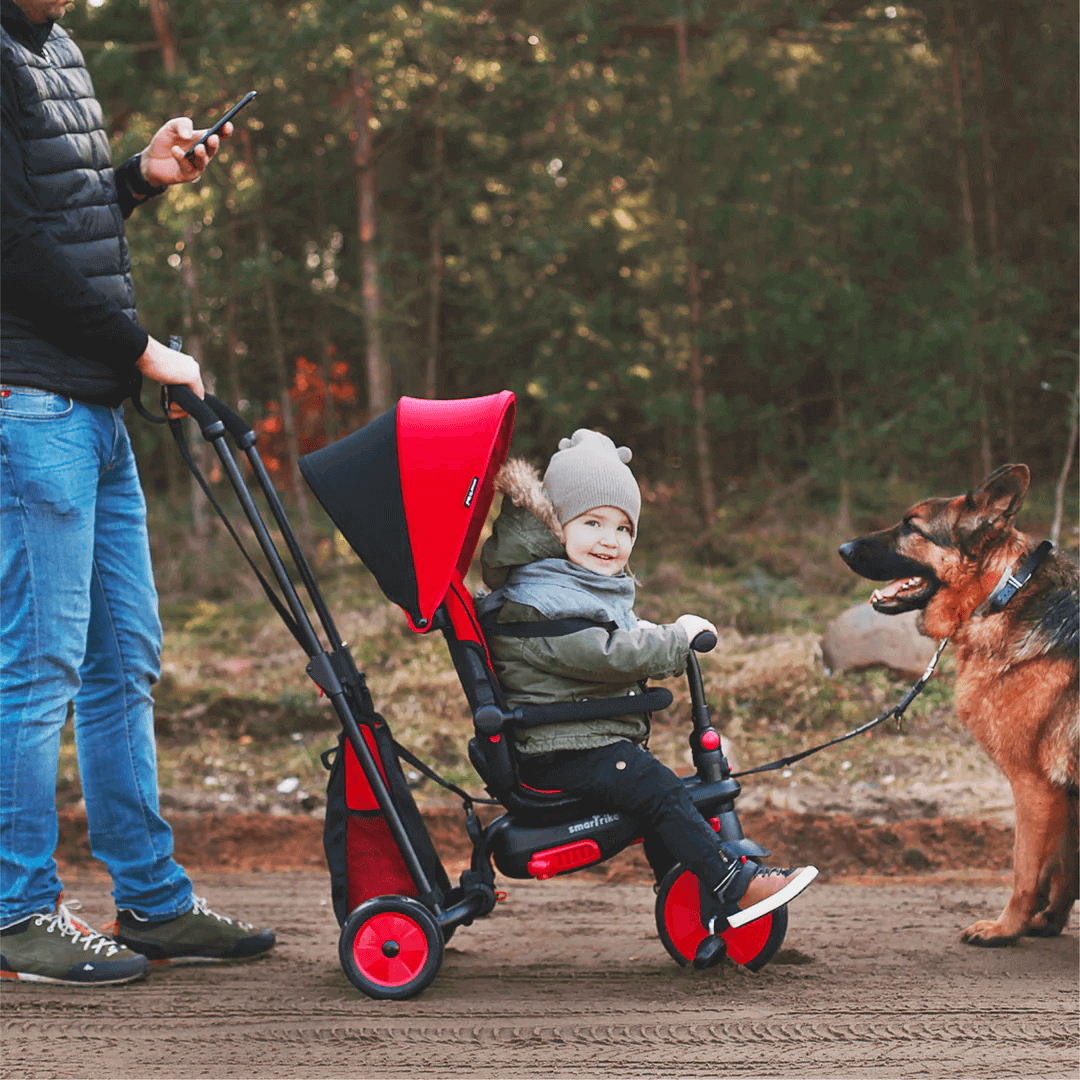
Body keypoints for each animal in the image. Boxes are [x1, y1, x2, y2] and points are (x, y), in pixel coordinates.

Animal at [838, 464, 1075, 946]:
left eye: (911, 527)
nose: (842, 548)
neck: (1003, 591)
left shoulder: (1035, 786)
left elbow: (1026, 870)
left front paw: (1006, 928)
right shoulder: (1063, 795)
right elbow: (1062, 869)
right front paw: (1046, 922)